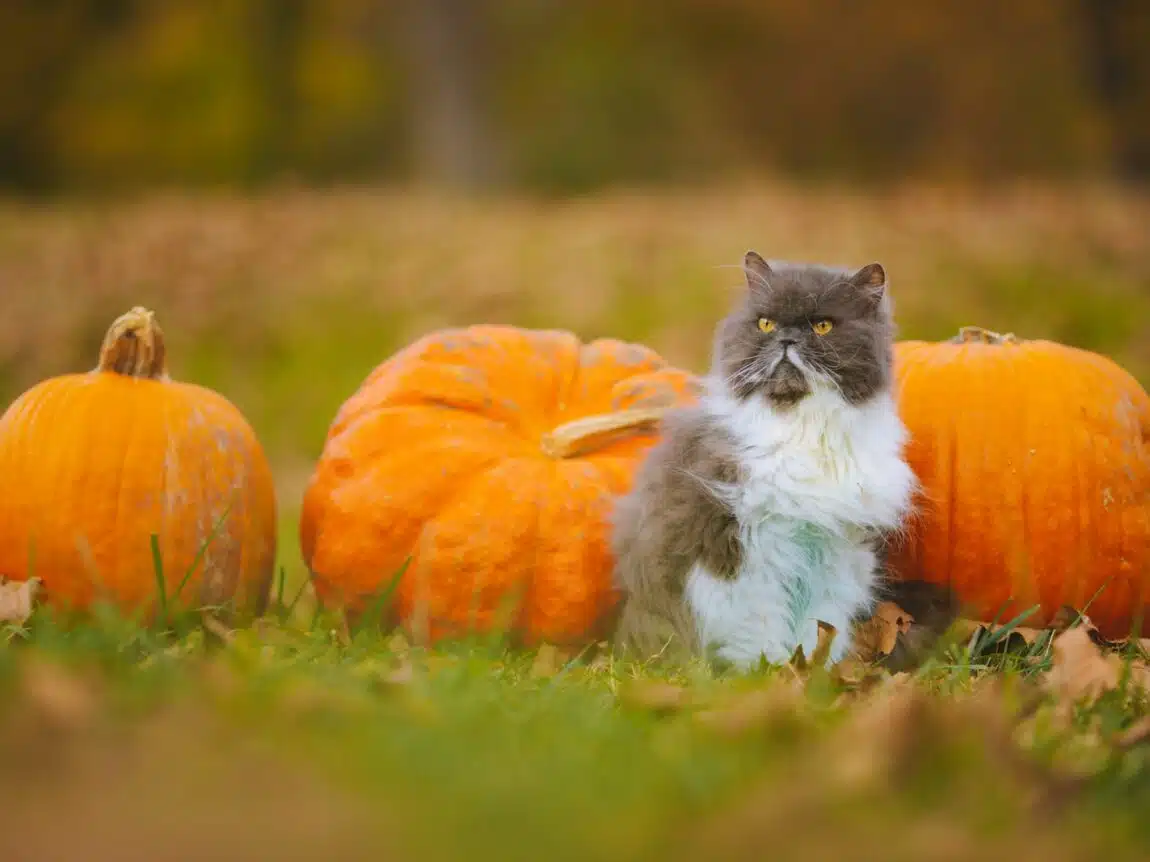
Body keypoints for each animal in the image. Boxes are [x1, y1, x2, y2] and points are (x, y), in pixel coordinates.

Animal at [611, 252, 915, 671]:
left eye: (822, 326)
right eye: (765, 323)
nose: (786, 339)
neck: (804, 430)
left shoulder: (834, 555)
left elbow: (819, 627)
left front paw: (812, 673)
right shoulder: (743, 551)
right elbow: (759, 626)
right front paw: (771, 674)